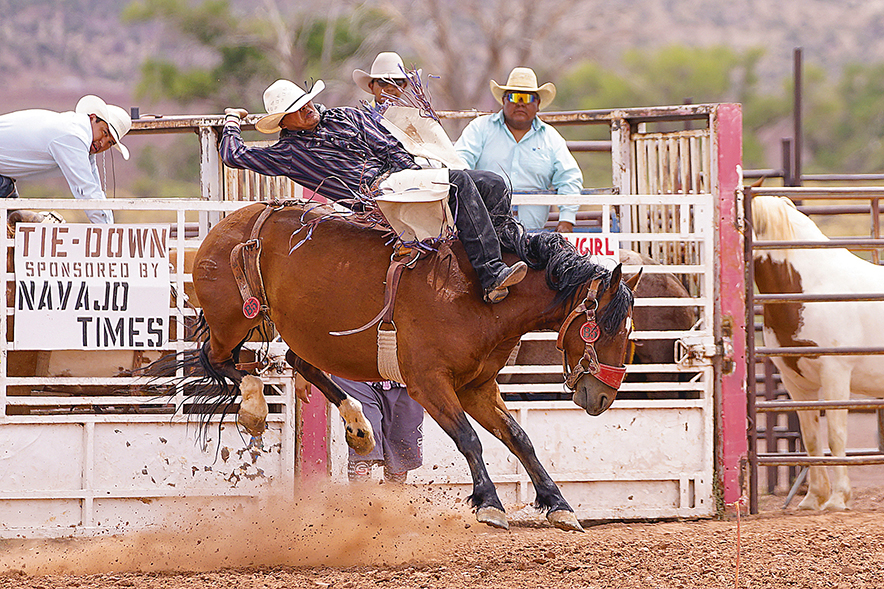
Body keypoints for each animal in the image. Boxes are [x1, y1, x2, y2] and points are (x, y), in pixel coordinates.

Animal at [752, 196, 884, 510]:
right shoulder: (795, 381)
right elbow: (811, 439)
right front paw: (813, 498)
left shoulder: (835, 374)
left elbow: (836, 436)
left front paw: (838, 499)